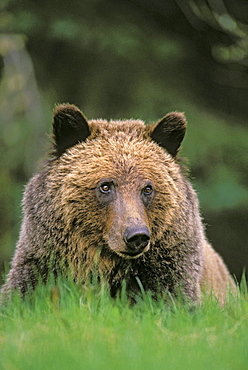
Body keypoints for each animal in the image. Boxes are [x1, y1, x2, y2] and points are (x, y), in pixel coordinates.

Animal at [0, 102, 236, 302]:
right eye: (105, 186)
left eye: (147, 188)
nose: (136, 235)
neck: (104, 263)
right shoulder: (42, 259)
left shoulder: (169, 266)